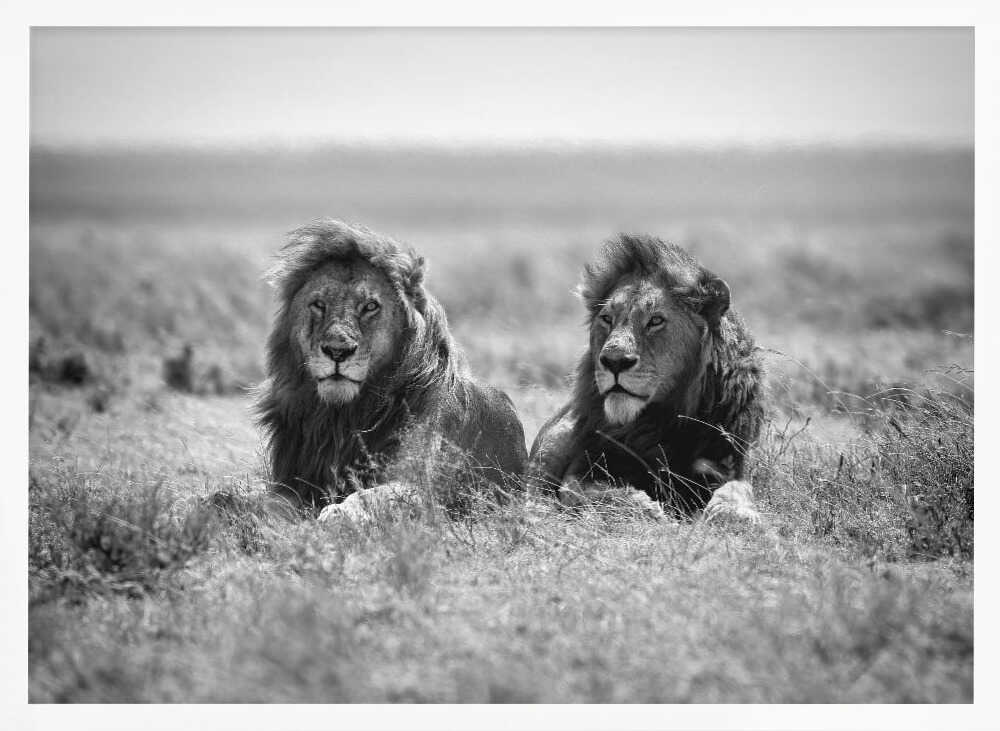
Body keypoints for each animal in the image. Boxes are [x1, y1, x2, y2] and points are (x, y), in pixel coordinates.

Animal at [254, 219, 528, 522]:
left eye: (370, 306)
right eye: (318, 305)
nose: (338, 351)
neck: (343, 417)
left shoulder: (423, 488)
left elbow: (371, 496)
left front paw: (337, 514)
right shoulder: (291, 481)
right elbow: (268, 504)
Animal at [528, 233, 764, 523]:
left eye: (656, 321)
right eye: (607, 318)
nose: (615, 361)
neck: (660, 422)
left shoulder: (729, 461)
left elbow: (736, 489)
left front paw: (737, 515)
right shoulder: (585, 467)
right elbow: (587, 491)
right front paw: (649, 510)